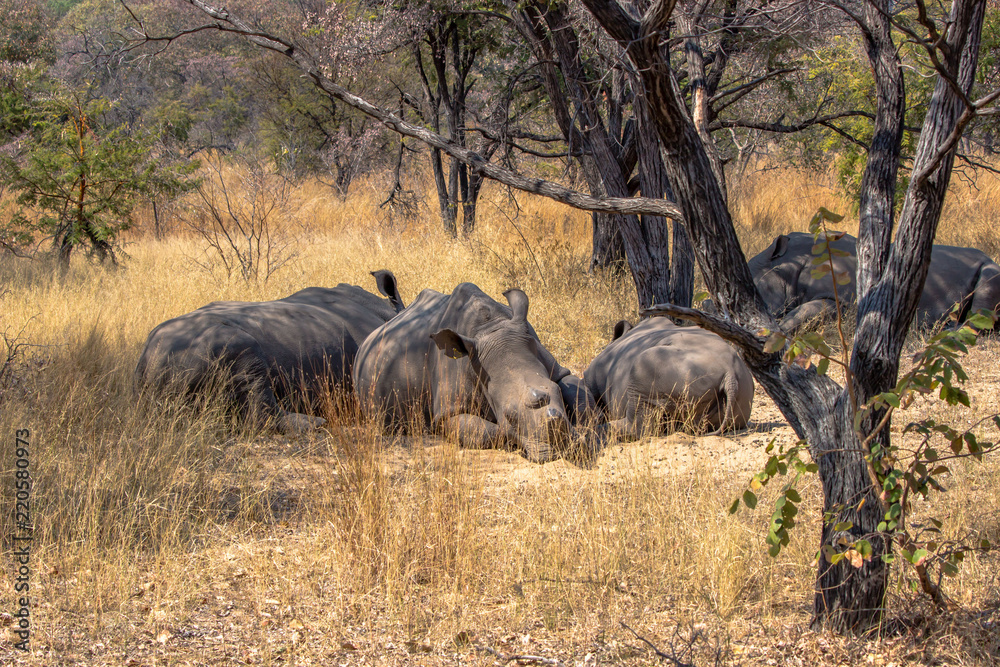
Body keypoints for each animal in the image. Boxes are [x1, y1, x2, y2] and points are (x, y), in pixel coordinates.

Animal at [352, 283, 597, 463]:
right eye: (509, 415)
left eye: (557, 393)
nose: (565, 450)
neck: (489, 328)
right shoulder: (447, 413)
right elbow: (492, 431)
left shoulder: (554, 368)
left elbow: (577, 394)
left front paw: (587, 428)